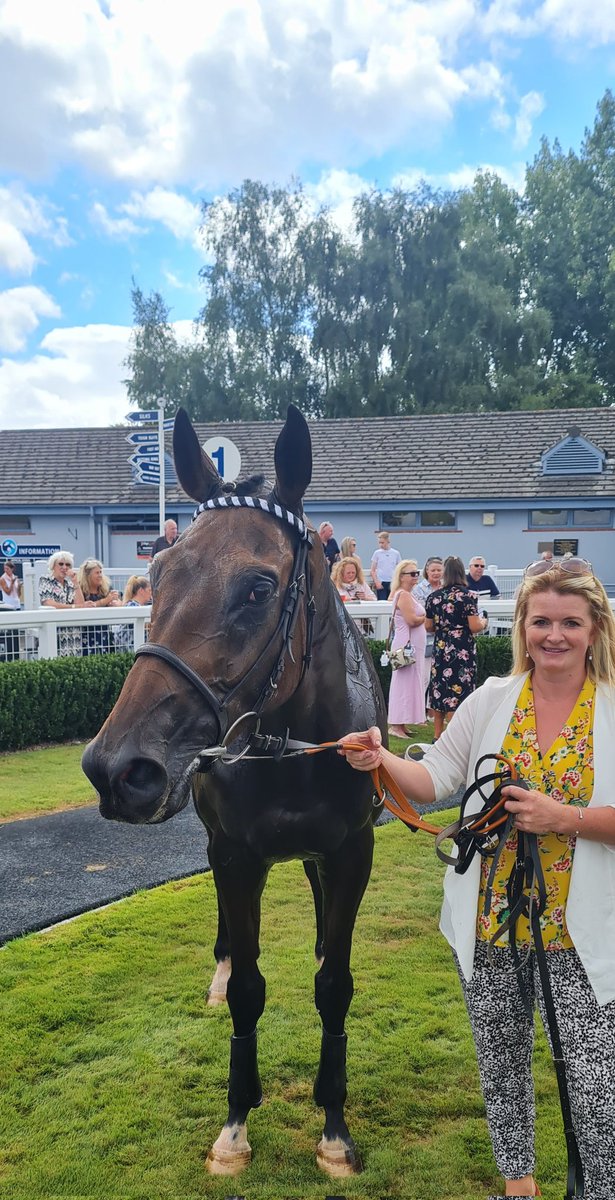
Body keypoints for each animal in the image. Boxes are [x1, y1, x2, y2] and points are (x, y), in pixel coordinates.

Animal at [80, 408, 389, 1176]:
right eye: (157, 572)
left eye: (258, 588)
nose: (118, 767)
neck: (290, 753)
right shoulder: (234, 855)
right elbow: (250, 988)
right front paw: (236, 1123)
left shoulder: (351, 851)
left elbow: (334, 987)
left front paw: (333, 1127)